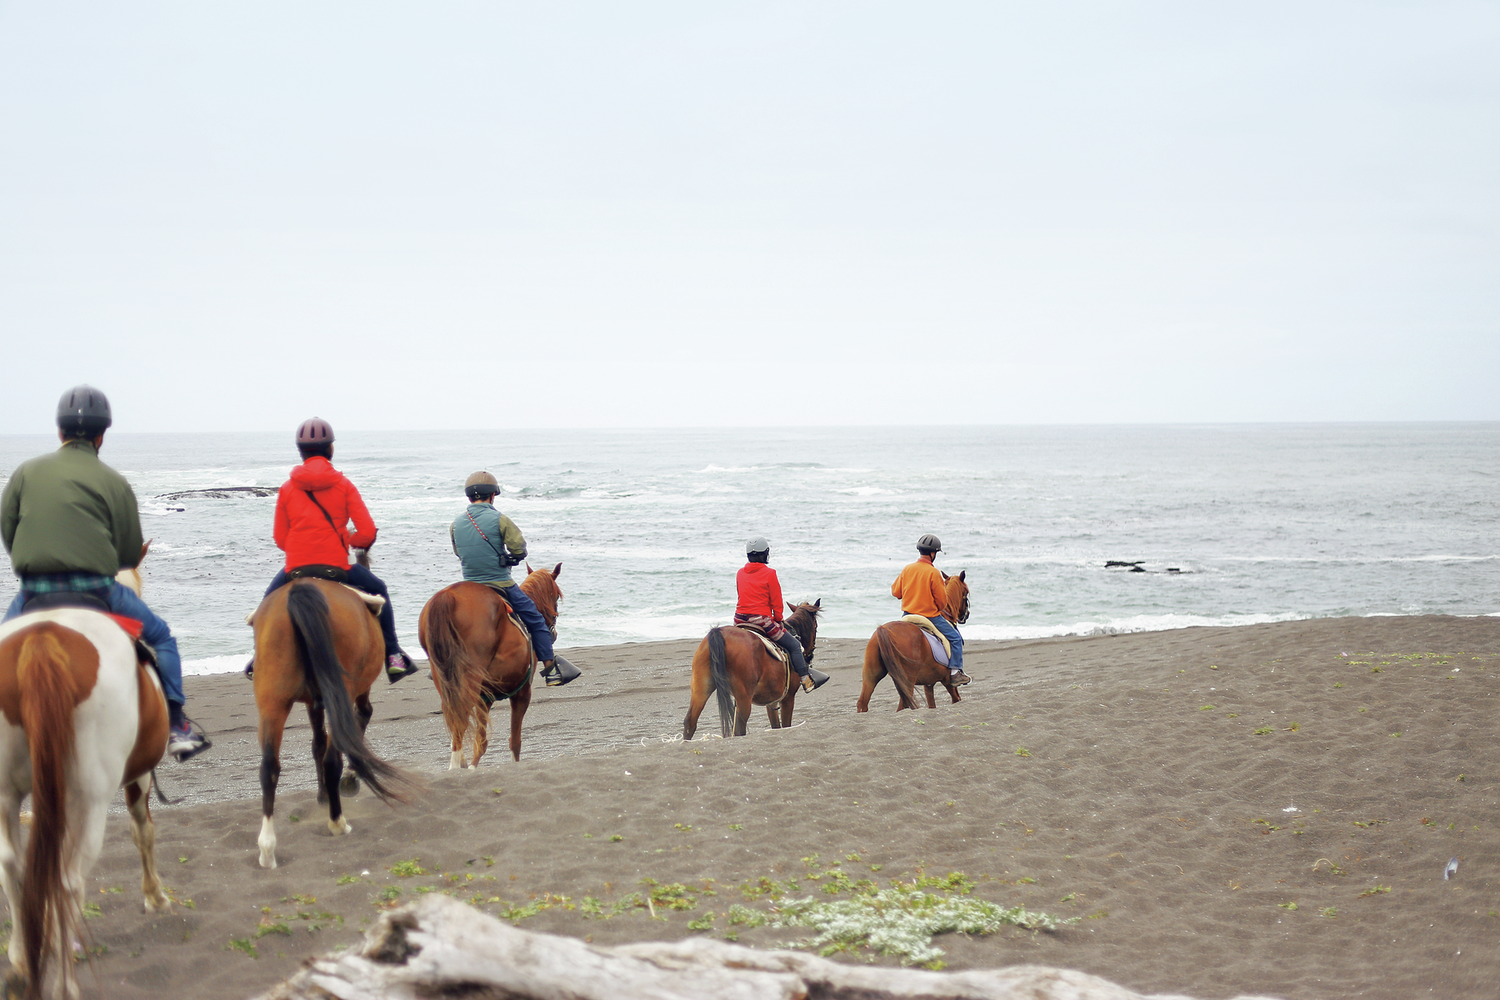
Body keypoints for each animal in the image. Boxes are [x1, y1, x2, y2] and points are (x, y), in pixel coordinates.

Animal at [0, 593, 171, 1000]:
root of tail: (42, 637)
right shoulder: (138, 775)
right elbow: (142, 832)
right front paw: (154, 895)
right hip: (89, 801)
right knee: (68, 882)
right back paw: (64, 985)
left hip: (6, 795)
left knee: (11, 865)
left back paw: (21, 961)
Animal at [250, 578, 408, 869]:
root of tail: (301, 590)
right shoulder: (356, 691)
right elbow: (361, 718)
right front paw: (349, 779)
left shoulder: (313, 700)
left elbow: (317, 743)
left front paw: (323, 794)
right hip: (342, 688)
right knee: (333, 758)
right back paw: (338, 823)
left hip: (272, 702)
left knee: (269, 768)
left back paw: (267, 850)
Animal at [417, 566, 564, 773]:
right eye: (556, 596)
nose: (554, 632)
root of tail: (448, 596)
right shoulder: (521, 692)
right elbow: (514, 741)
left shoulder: (484, 697)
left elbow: (481, 740)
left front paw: (470, 764)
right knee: (461, 715)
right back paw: (454, 765)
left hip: (444, 676)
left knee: (452, 713)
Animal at [687, 599, 828, 740]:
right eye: (815, 626)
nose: (810, 655)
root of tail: (719, 633)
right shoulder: (788, 698)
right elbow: (786, 725)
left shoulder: (772, 702)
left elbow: (776, 726)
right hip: (744, 699)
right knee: (739, 728)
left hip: (701, 690)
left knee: (690, 723)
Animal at [858, 569, 972, 710]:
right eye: (966, 592)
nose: (966, 615)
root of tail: (883, 629)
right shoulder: (948, 681)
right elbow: (956, 699)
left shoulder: (928, 684)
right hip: (907, 682)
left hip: (871, 676)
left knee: (862, 703)